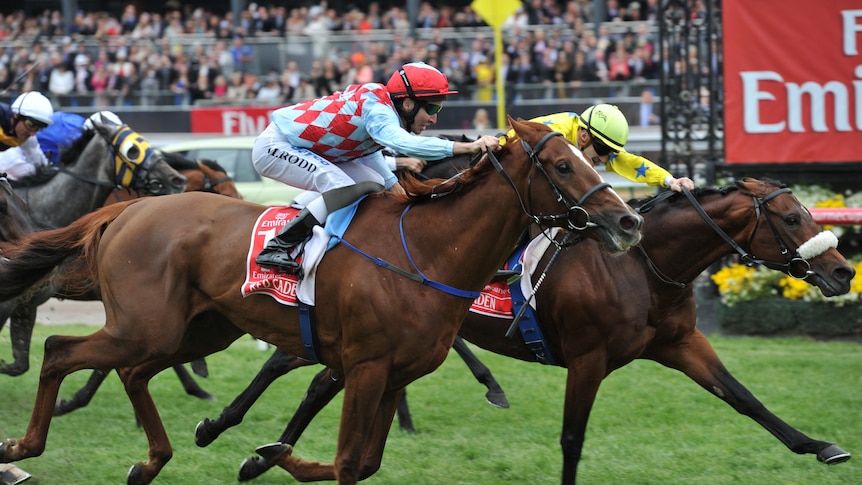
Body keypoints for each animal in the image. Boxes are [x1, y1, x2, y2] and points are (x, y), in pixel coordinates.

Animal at [0, 118, 640, 484]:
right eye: (563, 165)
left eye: (589, 159)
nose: (628, 220)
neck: (425, 251)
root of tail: (129, 208)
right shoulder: (366, 367)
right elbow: (348, 460)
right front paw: (268, 453)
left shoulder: (393, 373)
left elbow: (361, 461)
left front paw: (270, 453)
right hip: (146, 325)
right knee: (60, 351)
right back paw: (24, 446)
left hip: (196, 329)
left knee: (129, 371)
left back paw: (150, 459)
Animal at [194, 179, 852, 484]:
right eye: (791, 217)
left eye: (807, 211)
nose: (844, 270)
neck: (640, 266)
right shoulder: (588, 357)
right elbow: (572, 438)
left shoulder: (679, 343)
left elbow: (743, 398)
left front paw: (821, 445)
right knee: (290, 366)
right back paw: (229, 431)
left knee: (310, 378)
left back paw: (261, 450)